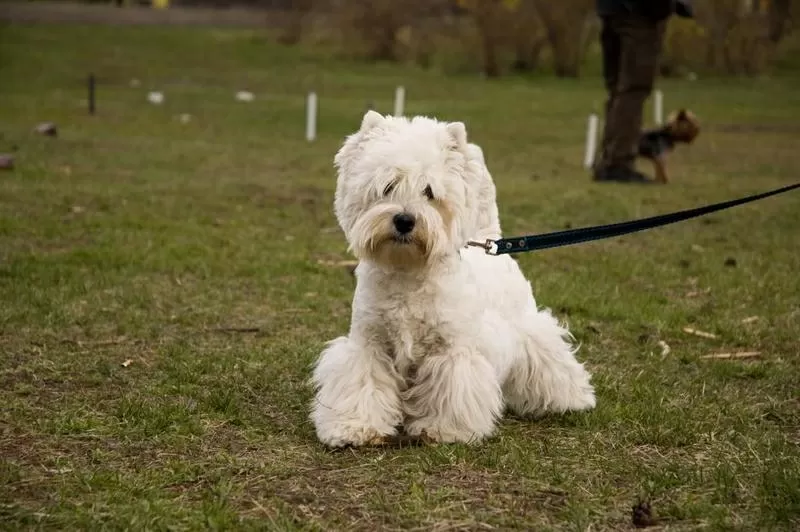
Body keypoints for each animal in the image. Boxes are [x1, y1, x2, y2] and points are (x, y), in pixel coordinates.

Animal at [310, 110, 596, 446]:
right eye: (387, 186)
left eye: (429, 192)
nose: (404, 220)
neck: (408, 271)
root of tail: (490, 238)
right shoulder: (370, 344)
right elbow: (362, 384)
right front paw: (354, 427)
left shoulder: (452, 349)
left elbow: (451, 388)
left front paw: (443, 429)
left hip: (530, 330)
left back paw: (574, 399)